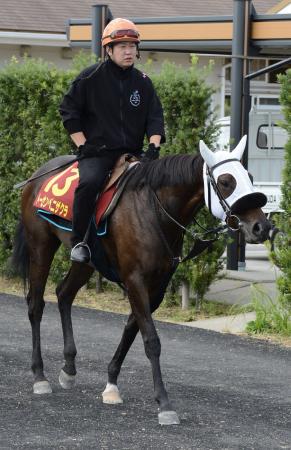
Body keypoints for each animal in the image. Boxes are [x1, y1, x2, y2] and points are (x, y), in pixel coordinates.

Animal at [11, 135, 272, 424]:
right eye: (226, 182)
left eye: (249, 176)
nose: (261, 227)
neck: (154, 209)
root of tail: (36, 177)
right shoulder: (135, 279)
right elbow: (151, 340)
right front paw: (164, 403)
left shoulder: (157, 286)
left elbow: (132, 329)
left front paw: (111, 384)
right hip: (41, 247)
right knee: (36, 305)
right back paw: (39, 375)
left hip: (86, 261)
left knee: (64, 293)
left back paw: (69, 368)